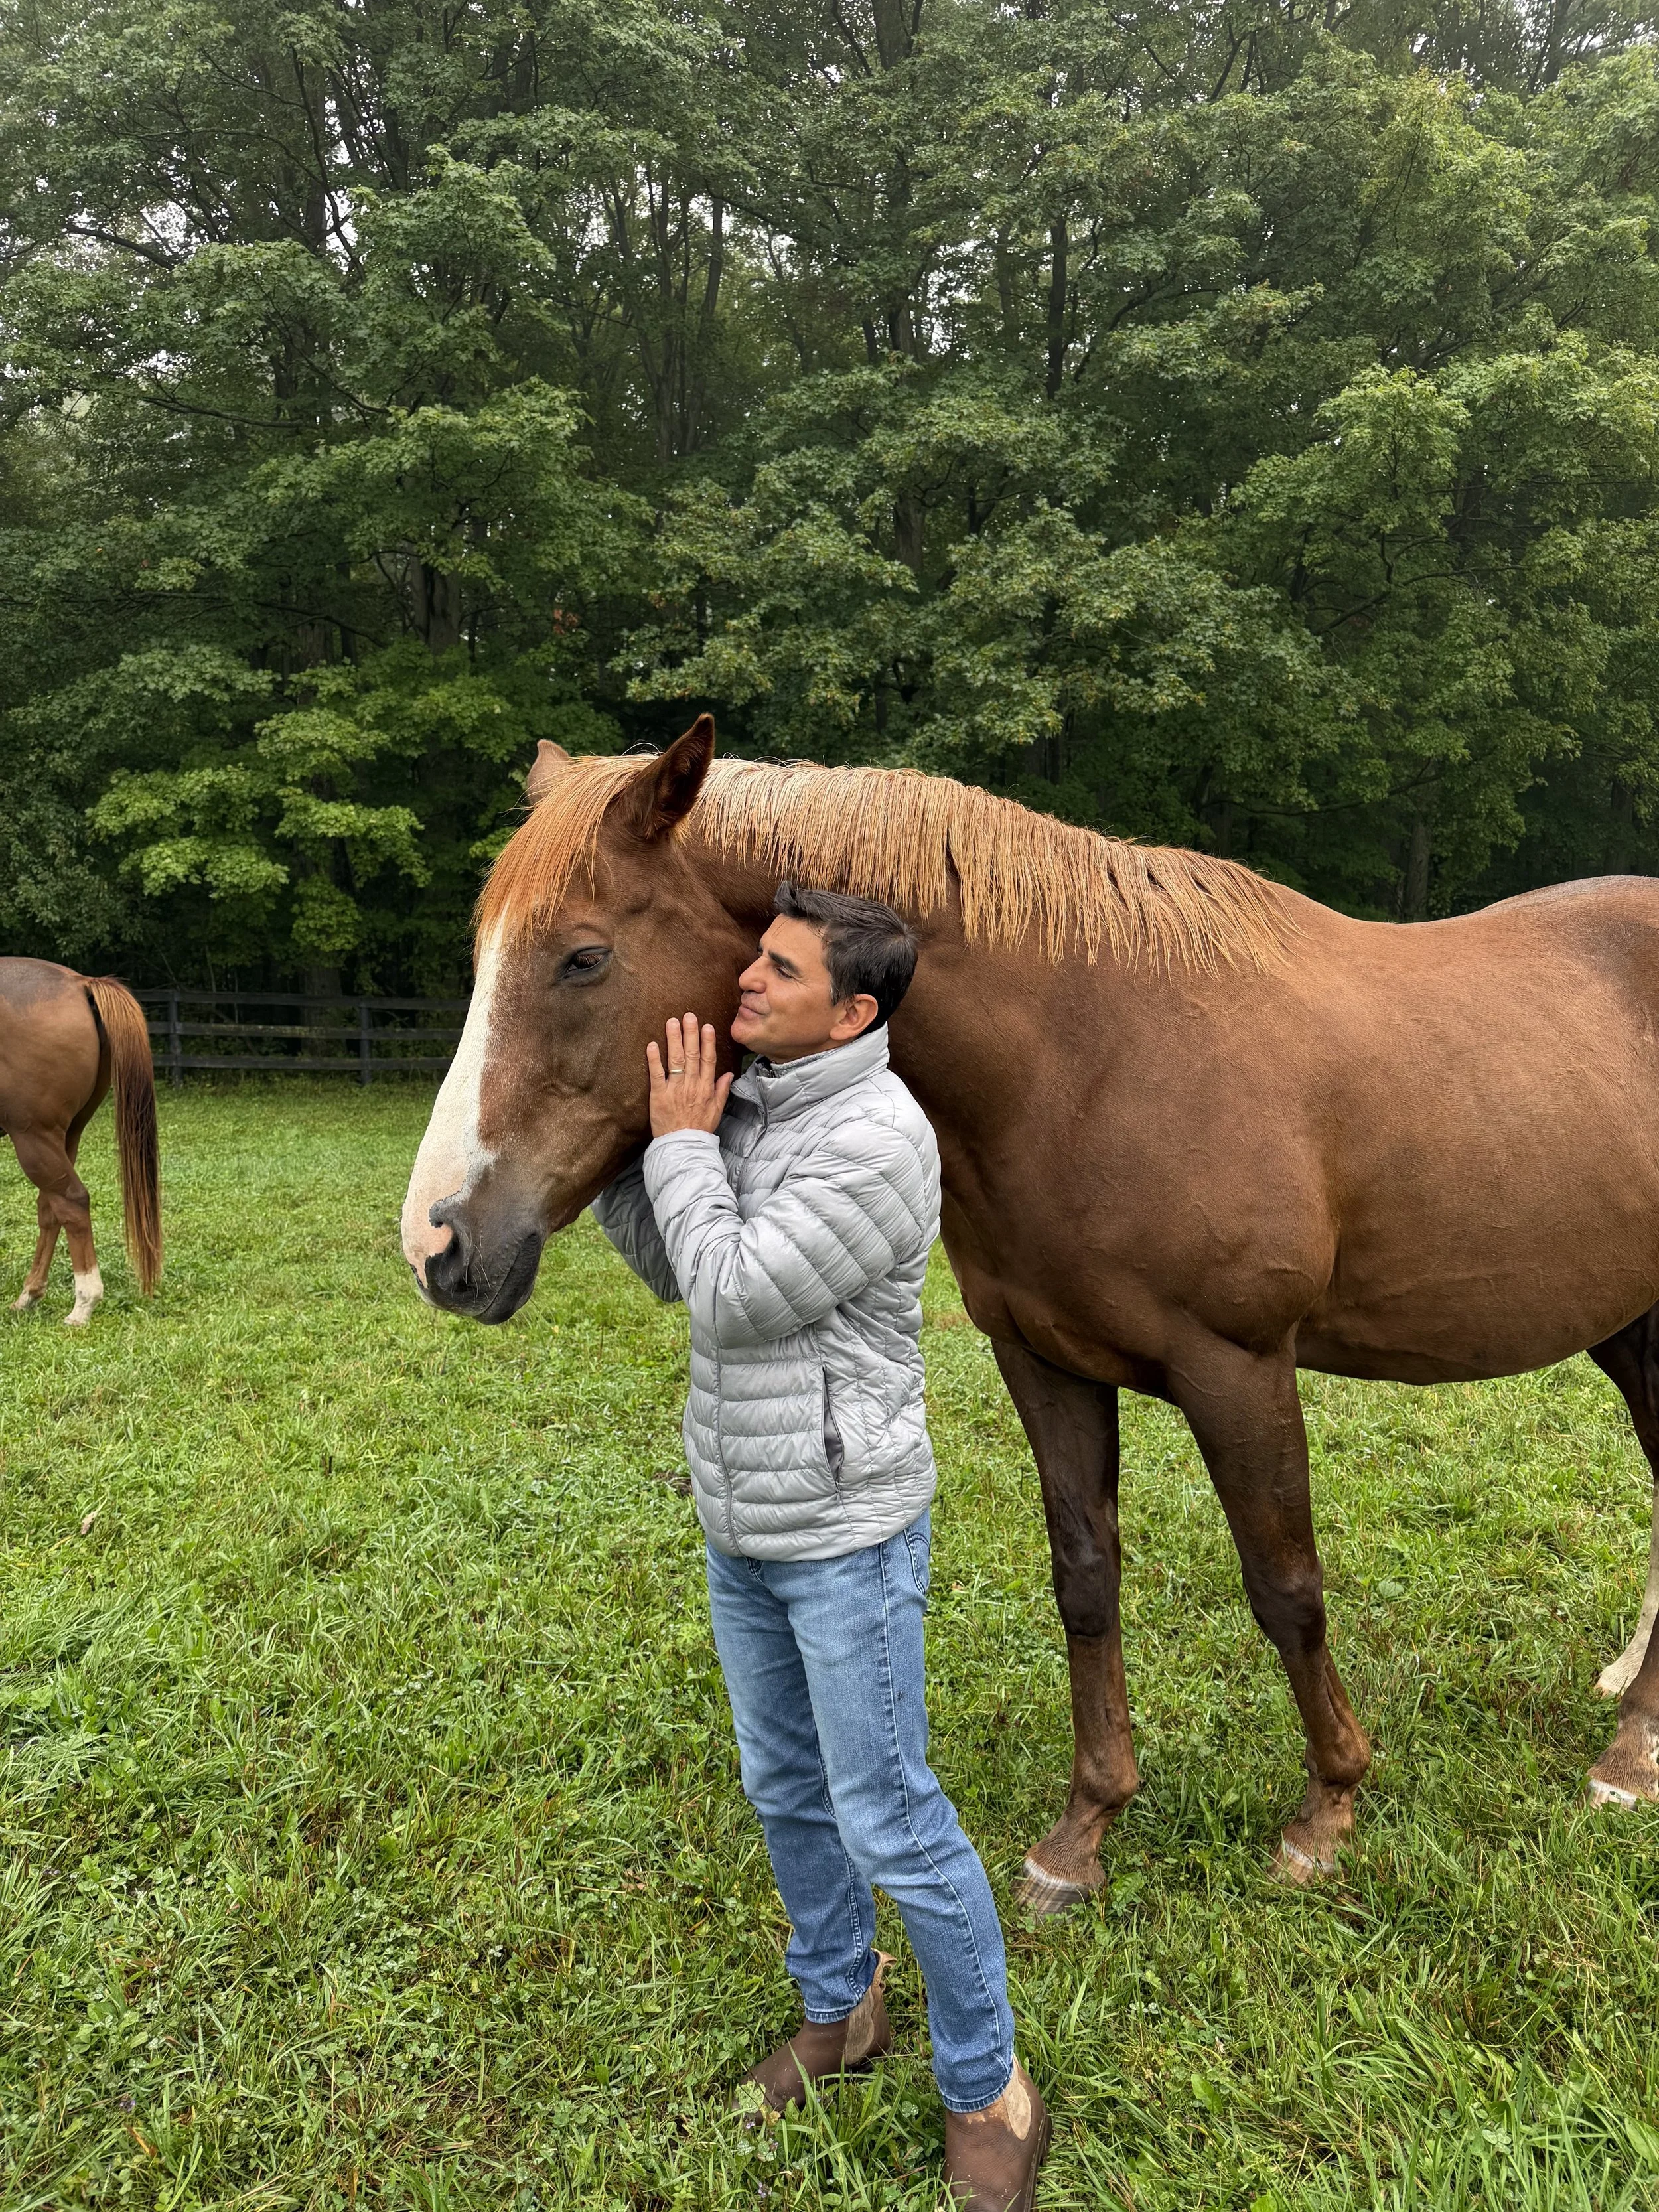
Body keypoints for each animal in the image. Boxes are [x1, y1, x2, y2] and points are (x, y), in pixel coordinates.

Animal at [0, 960, 161, 1326]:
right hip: (65, 1136)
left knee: (72, 1203)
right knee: (52, 1207)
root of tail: (80, 983)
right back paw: (29, 1297)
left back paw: (83, 1304)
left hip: (35, 1138)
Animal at [401, 715, 1659, 1905]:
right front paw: (1085, 1830)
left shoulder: (1239, 1366)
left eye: (583, 956)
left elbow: (1287, 1586)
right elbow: (1086, 1578)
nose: (440, 1242)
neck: (1089, 1055)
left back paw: (1626, 1755)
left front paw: (1328, 1810)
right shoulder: (1045, 1361)